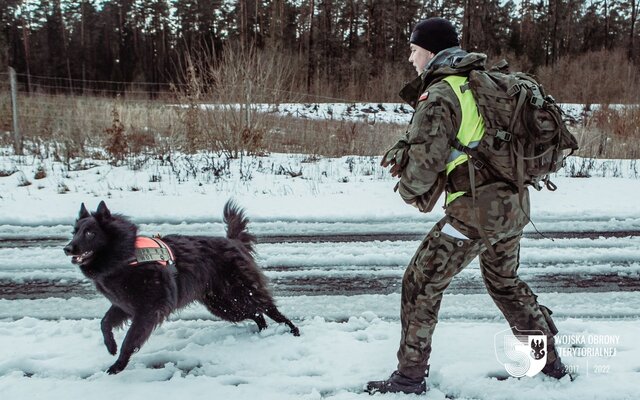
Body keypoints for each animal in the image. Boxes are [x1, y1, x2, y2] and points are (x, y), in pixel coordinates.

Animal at [63, 200, 298, 376]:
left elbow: (130, 339)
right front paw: (110, 347)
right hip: (225, 305)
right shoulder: (123, 305)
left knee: (268, 308)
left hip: (240, 292)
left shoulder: (148, 310)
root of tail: (234, 242)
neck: (125, 257)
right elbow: (104, 323)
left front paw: (118, 365)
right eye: (75, 232)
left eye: (90, 233)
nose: (67, 248)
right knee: (257, 314)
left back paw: (292, 331)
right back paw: (262, 332)